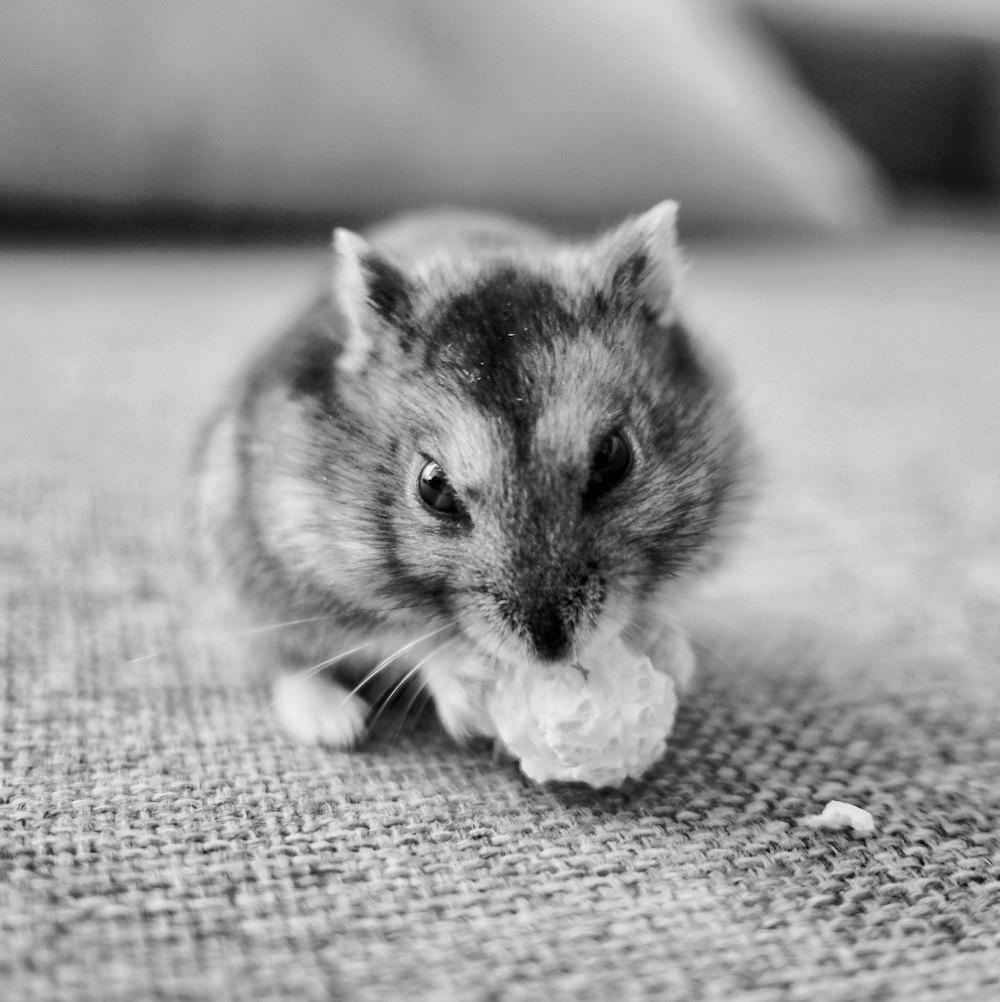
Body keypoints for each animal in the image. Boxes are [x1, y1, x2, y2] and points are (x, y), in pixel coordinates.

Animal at [191, 203, 753, 749]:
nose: (550, 653)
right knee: (285, 661)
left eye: (613, 457)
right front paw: (470, 690)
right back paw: (336, 727)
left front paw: (665, 649)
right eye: (433, 486)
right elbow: (400, 639)